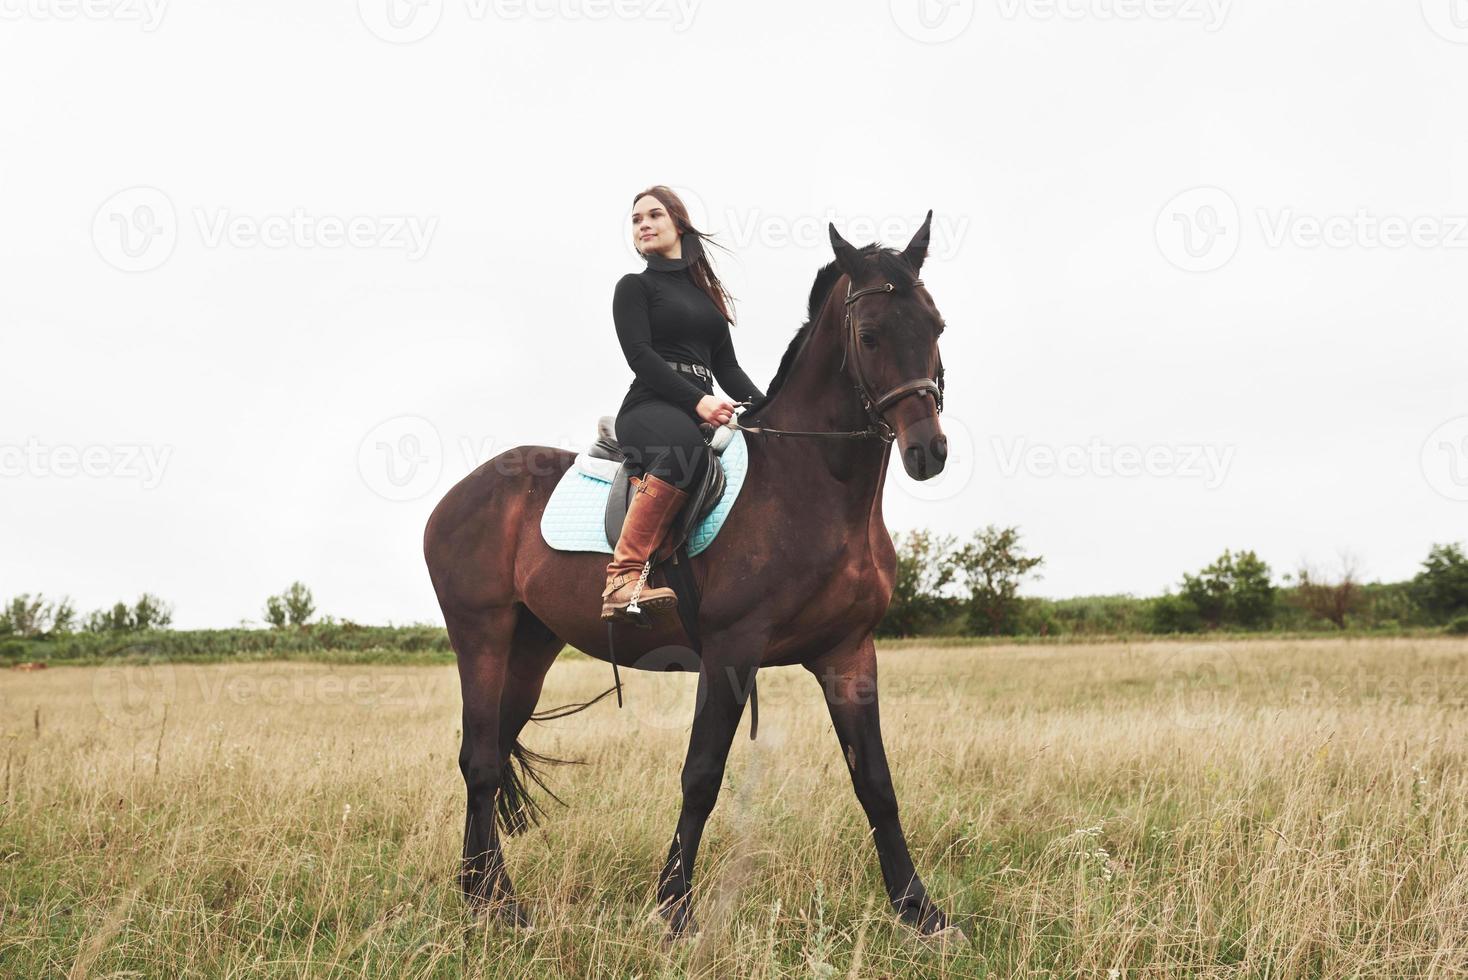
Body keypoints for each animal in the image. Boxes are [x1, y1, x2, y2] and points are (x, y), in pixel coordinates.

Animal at [425, 212, 951, 938]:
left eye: (937, 325)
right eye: (869, 335)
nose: (928, 450)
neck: (810, 483)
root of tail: (458, 494)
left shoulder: (849, 654)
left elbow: (875, 781)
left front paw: (919, 910)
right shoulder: (732, 650)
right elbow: (701, 775)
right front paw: (674, 910)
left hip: (529, 647)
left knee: (493, 751)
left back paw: (485, 897)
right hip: (481, 636)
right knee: (478, 760)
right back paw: (498, 905)